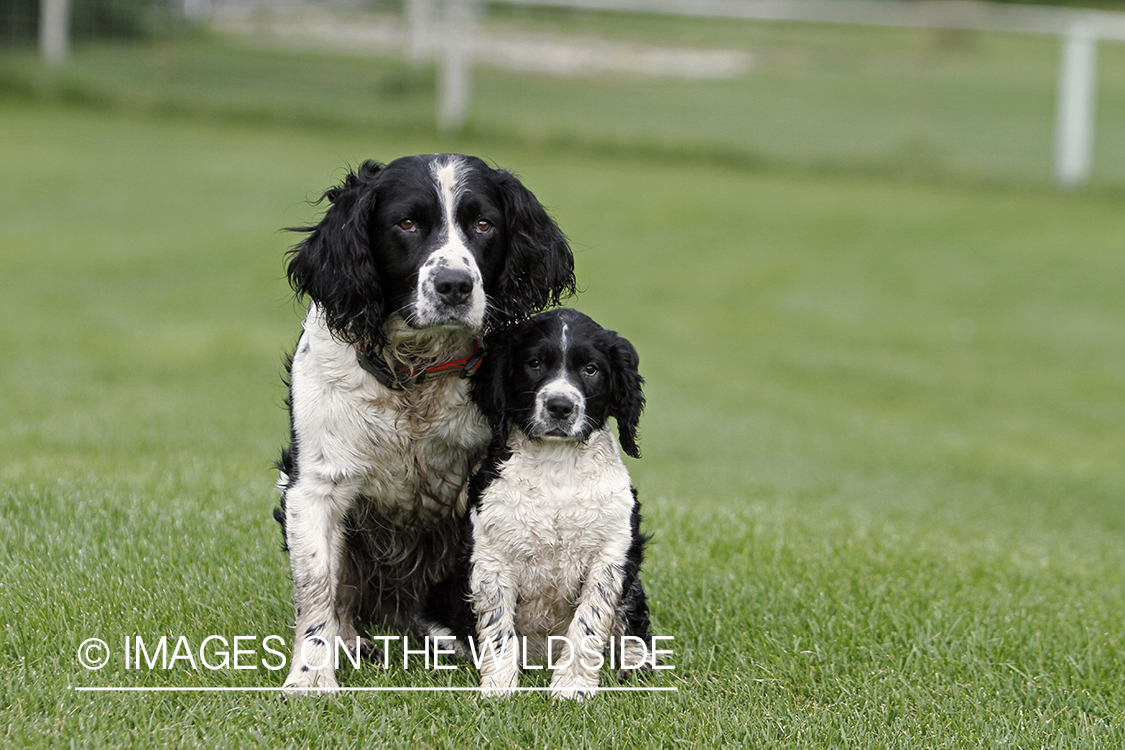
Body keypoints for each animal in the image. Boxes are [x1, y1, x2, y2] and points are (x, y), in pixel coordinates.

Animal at [271, 155, 571, 697]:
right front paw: (310, 676)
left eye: (484, 224)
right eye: (407, 223)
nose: (454, 285)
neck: (416, 376)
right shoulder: (313, 484)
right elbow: (317, 586)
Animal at [420, 308, 652, 701]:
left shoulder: (613, 552)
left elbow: (589, 621)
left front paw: (572, 687)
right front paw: (499, 689)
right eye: (534, 363)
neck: (557, 468)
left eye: (591, 369)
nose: (560, 406)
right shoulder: (491, 554)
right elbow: (498, 629)